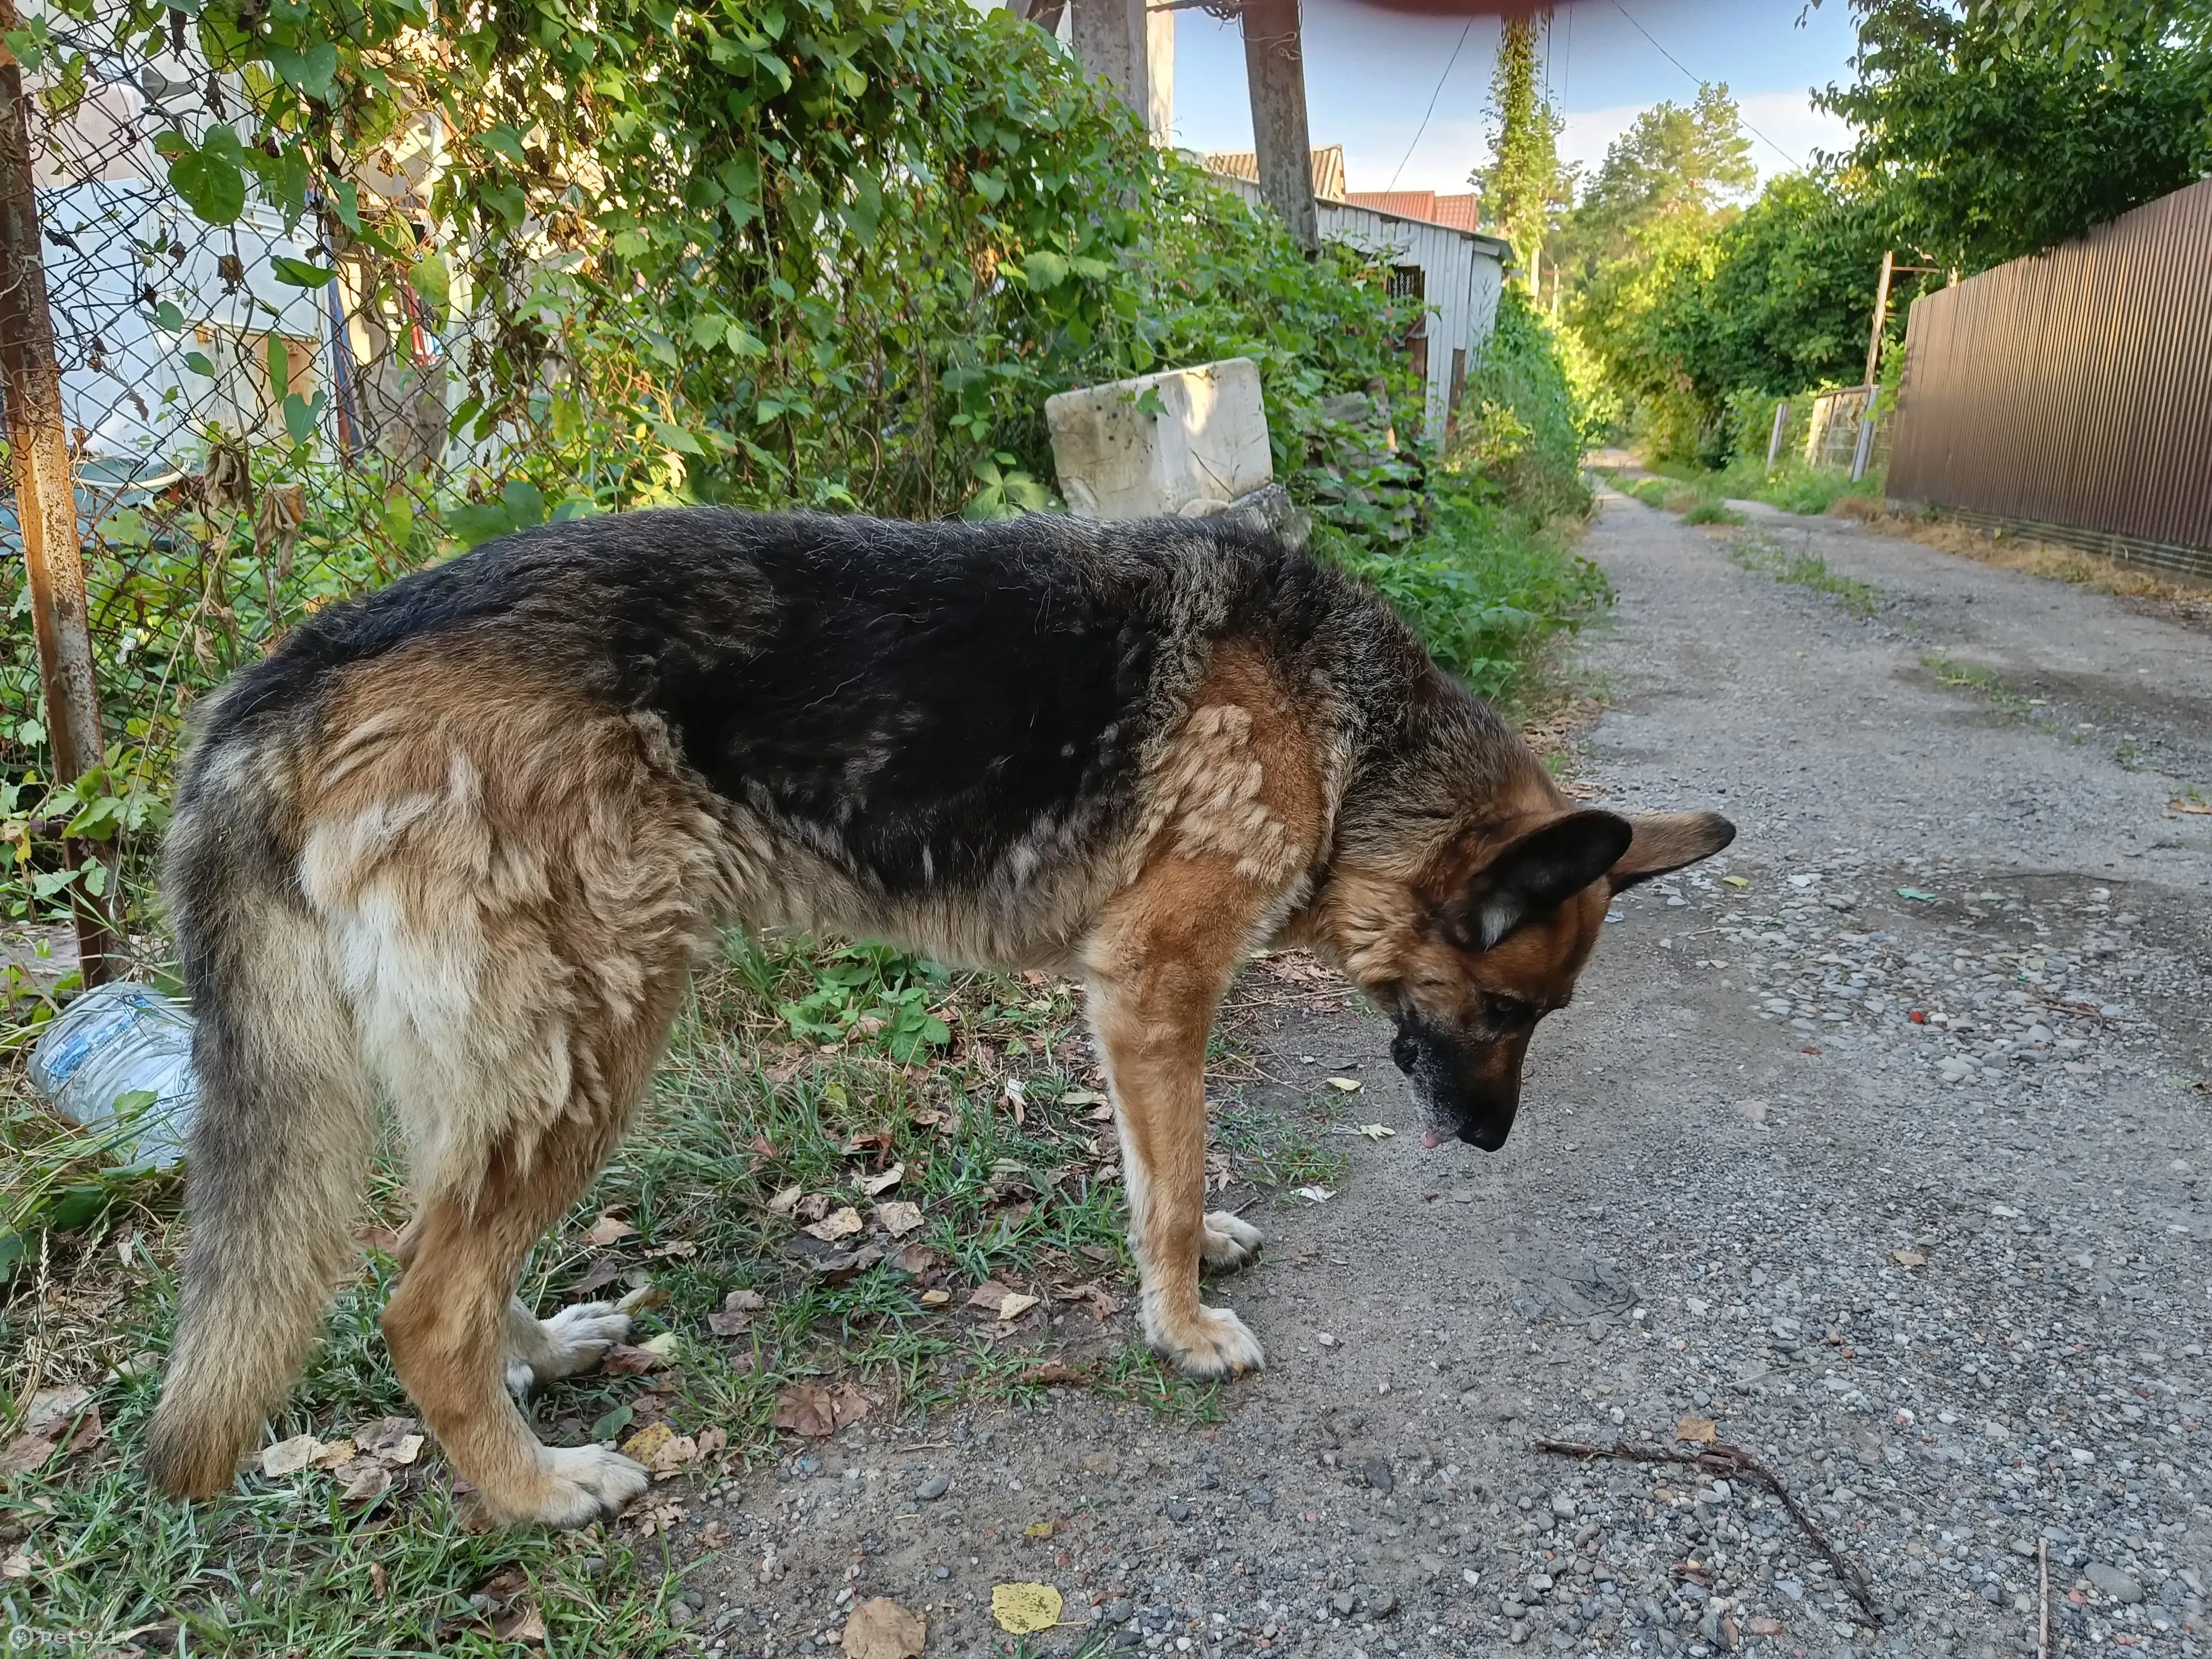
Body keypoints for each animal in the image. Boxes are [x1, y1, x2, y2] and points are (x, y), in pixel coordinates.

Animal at [151, 513, 1725, 1530]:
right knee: (423, 1305)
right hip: (595, 1038)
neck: (1354, 738)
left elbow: (1160, 1169)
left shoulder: (1130, 1008)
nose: (1491, 1142)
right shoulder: (1155, 983)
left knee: (445, 1261)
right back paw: (538, 1488)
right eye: (1505, 1006)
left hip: (524, 1063)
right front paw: (1182, 1324)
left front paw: (1193, 1256)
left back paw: (541, 1359)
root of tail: (310, 659)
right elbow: (1173, 1172)